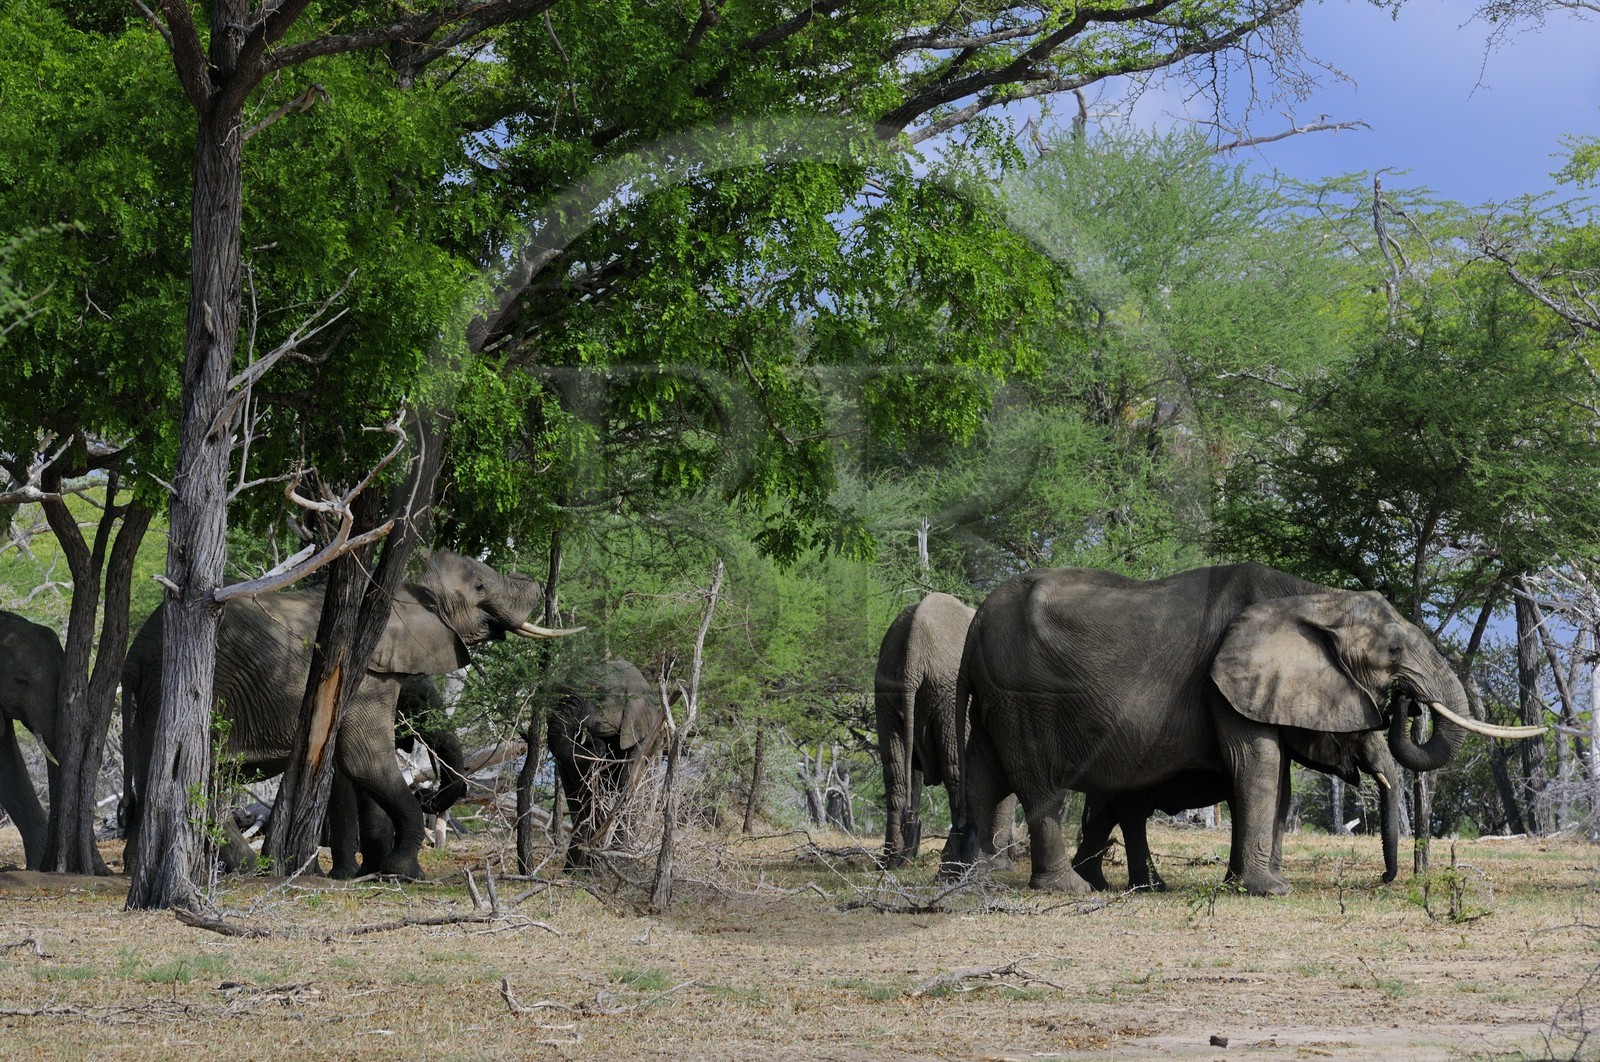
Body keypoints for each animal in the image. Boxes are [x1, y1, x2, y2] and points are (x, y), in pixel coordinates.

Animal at [122, 551, 574, 879]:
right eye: (479, 586)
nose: (429, 796)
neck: (395, 585)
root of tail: (134, 653)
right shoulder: (364, 674)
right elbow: (365, 762)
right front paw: (403, 873)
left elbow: (354, 772)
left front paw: (366, 871)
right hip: (192, 687)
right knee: (198, 777)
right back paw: (252, 871)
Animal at [547, 659, 666, 871]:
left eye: (600, 695)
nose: (592, 740)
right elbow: (578, 796)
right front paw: (575, 871)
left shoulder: (639, 736)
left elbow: (624, 789)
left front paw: (606, 865)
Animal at [874, 593, 1015, 869]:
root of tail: (914, 651)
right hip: (947, 692)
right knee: (956, 771)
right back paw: (957, 857)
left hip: (887, 689)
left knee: (895, 773)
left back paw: (892, 862)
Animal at [1072, 728, 1401, 892]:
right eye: (1361, 734)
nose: (1384, 876)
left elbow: (1280, 796)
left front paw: (1237, 880)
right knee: (1131, 814)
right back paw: (1150, 887)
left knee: (1107, 815)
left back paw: (1094, 882)